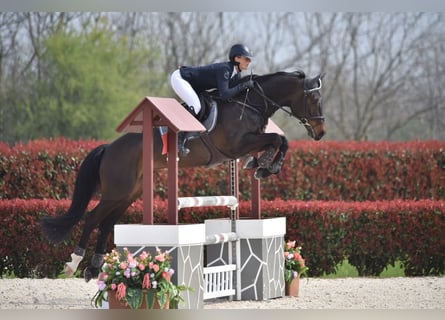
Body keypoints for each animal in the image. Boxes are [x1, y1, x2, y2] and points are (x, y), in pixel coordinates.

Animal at [40, 69, 326, 280]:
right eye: (314, 100)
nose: (321, 133)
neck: (250, 104)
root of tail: (108, 148)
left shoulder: (248, 143)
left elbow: (279, 141)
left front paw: (263, 166)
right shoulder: (237, 145)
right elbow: (278, 139)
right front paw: (266, 166)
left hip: (129, 193)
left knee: (106, 223)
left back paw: (94, 267)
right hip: (116, 191)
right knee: (91, 218)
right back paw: (74, 264)